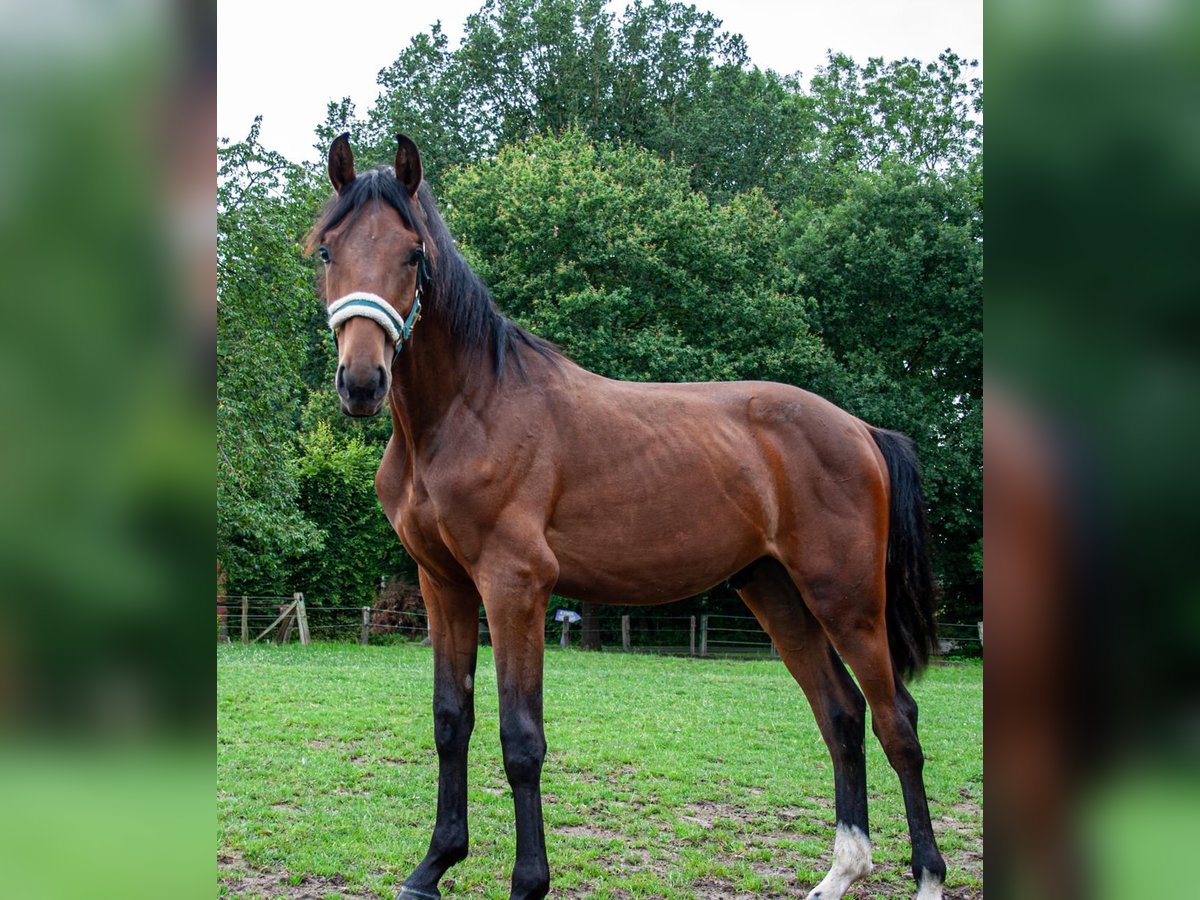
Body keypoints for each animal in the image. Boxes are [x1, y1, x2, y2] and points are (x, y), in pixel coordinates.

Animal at [307, 133, 945, 900]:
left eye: (413, 254)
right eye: (327, 251)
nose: (361, 382)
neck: (469, 409)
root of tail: (861, 431)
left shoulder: (515, 586)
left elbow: (521, 739)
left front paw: (528, 882)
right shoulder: (445, 584)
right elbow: (450, 721)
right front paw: (433, 866)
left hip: (846, 600)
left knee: (897, 721)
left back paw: (928, 877)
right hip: (776, 592)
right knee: (842, 717)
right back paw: (841, 872)